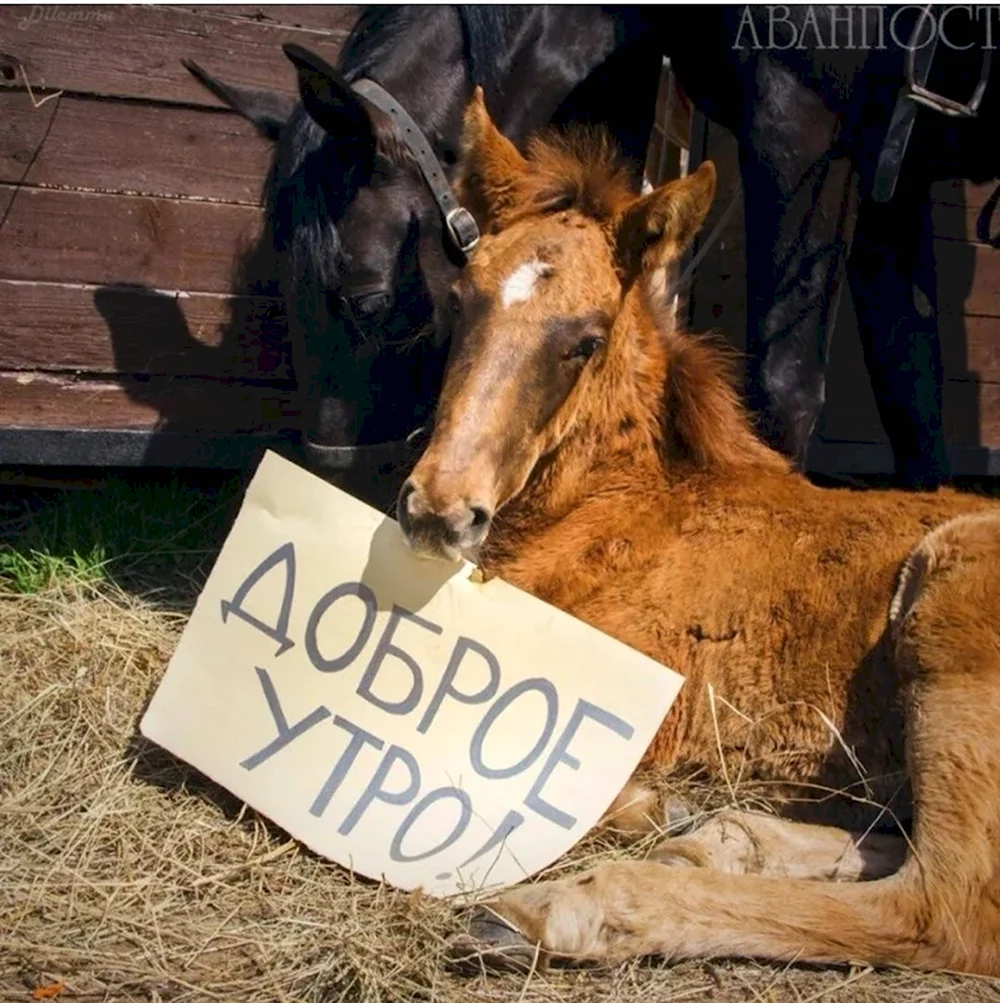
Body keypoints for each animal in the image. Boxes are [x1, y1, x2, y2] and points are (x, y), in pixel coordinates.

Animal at [395, 92, 998, 970]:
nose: (439, 509)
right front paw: (681, 815)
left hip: (952, 607)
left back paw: (560, 907)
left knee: (948, 905)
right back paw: (723, 835)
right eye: (462, 299)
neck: (614, 514)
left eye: (585, 340)